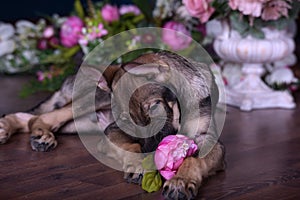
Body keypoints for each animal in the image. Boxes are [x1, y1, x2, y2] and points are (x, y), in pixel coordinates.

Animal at [0, 50, 225, 199]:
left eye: (154, 107)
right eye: (125, 121)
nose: (152, 152)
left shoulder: (210, 140)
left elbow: (194, 159)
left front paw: (181, 181)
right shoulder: (112, 130)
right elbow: (131, 146)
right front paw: (138, 165)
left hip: (80, 124)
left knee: (32, 118)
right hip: (89, 102)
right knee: (40, 117)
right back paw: (40, 135)